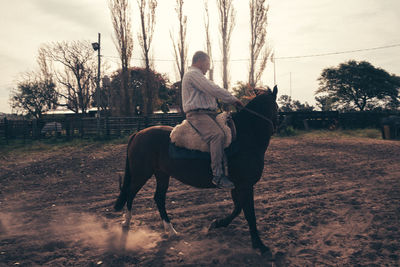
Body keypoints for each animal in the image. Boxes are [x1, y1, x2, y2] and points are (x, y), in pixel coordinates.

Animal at [115, 86, 278, 258]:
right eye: (276, 106)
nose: (277, 124)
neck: (247, 135)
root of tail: (138, 134)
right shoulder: (246, 186)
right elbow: (249, 214)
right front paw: (260, 245)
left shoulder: (238, 186)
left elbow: (238, 208)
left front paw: (217, 223)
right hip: (142, 174)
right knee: (131, 193)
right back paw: (126, 223)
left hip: (162, 174)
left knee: (158, 198)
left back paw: (171, 231)